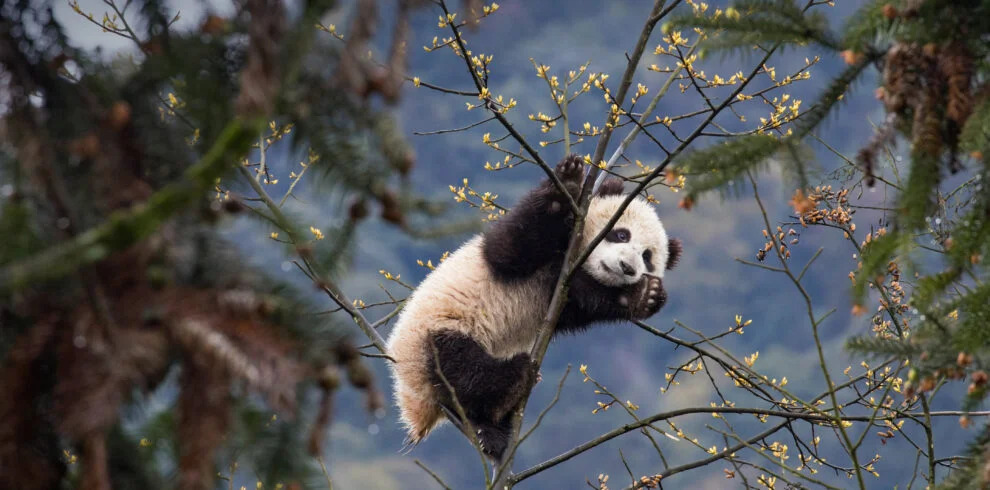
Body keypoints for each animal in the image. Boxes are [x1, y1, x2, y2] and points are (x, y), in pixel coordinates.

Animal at [386, 154, 681, 460]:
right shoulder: (515, 253)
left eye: (647, 258)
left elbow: (585, 301)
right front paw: (568, 182)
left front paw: (645, 295)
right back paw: (506, 395)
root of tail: (415, 405)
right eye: (622, 235)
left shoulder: (562, 292)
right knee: (465, 372)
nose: (626, 267)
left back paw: (494, 428)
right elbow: (511, 248)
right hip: (435, 335)